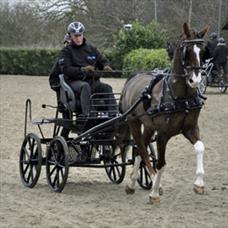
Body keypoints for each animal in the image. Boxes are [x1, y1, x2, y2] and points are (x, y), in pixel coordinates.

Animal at [119, 22, 208, 202]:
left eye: (202, 50)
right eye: (187, 50)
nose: (195, 80)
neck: (180, 97)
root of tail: (133, 77)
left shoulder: (190, 128)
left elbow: (200, 147)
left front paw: (199, 183)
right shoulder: (162, 134)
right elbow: (161, 163)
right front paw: (154, 193)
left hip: (148, 126)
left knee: (140, 148)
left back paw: (134, 183)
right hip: (133, 122)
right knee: (140, 147)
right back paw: (150, 182)